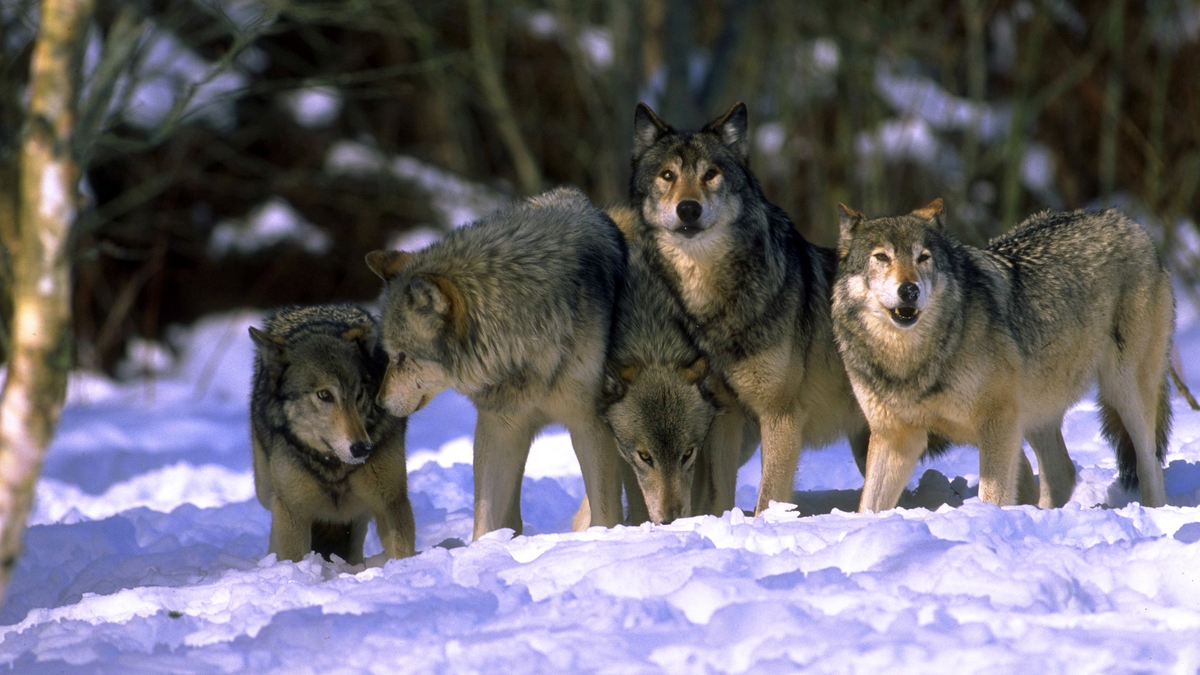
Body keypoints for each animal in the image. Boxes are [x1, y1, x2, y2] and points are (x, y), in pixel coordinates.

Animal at [247, 303, 412, 562]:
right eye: (324, 395)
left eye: (359, 394)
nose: (362, 448)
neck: (334, 467)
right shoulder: (294, 512)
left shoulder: (392, 503)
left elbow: (402, 553)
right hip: (266, 491)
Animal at [364, 186, 628, 538]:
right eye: (390, 355)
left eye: (403, 356)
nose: (379, 404)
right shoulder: (499, 425)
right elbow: (485, 519)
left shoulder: (589, 425)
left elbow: (605, 511)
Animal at [624, 99, 868, 511]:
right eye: (667, 175)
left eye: (710, 174)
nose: (688, 209)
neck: (715, 302)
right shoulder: (724, 416)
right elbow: (718, 495)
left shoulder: (780, 415)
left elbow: (768, 498)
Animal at [835, 199, 1171, 509]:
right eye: (881, 257)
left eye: (923, 257)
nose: (909, 290)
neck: (909, 360)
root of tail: (1126, 221)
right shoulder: (895, 438)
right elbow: (868, 507)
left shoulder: (998, 424)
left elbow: (992, 497)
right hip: (1037, 410)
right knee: (1061, 473)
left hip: (1123, 391)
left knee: (1150, 465)